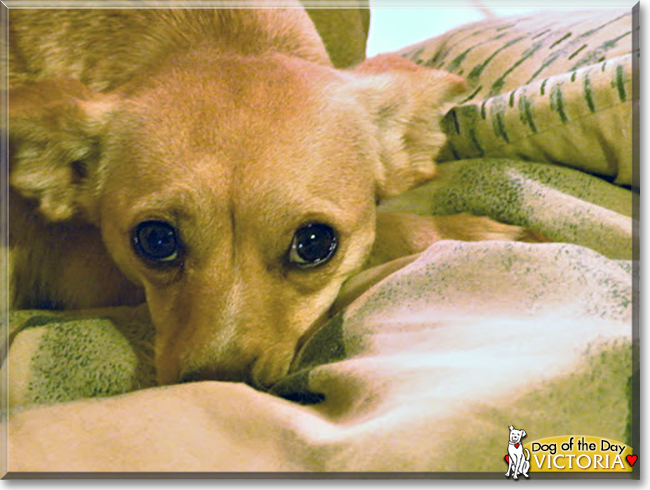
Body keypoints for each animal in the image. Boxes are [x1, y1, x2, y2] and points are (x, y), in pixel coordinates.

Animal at [6, 1, 540, 388]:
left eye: (314, 243)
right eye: (155, 240)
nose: (217, 384)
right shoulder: (74, 263)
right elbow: (390, 227)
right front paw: (465, 230)